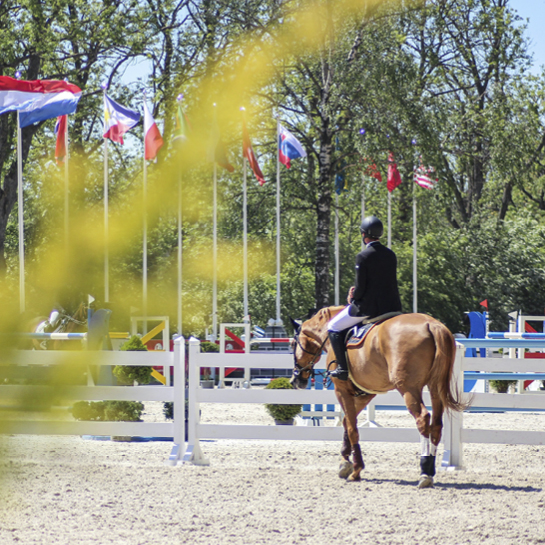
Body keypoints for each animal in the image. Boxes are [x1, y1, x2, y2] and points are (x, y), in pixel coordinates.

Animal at [288, 304, 468, 486]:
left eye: (293, 344)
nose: (295, 380)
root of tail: (431, 324)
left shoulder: (342, 390)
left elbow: (352, 427)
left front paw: (356, 469)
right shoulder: (366, 393)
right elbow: (347, 422)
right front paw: (345, 462)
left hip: (408, 388)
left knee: (423, 419)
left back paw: (424, 472)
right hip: (435, 387)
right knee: (436, 424)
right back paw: (430, 469)